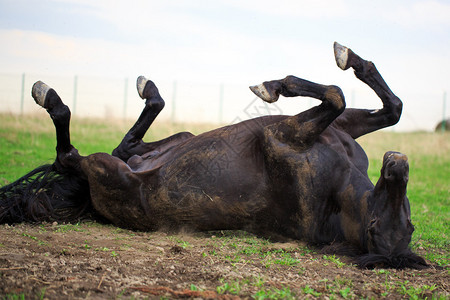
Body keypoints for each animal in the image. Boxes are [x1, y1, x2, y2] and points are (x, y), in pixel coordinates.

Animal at [0, 42, 428, 270]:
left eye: (379, 226)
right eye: (405, 218)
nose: (398, 165)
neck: (336, 195)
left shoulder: (283, 134)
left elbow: (336, 95)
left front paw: (273, 86)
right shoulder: (339, 129)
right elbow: (390, 107)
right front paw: (349, 57)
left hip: (107, 170)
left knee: (70, 156)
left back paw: (51, 99)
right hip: (174, 142)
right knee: (128, 144)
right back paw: (149, 90)